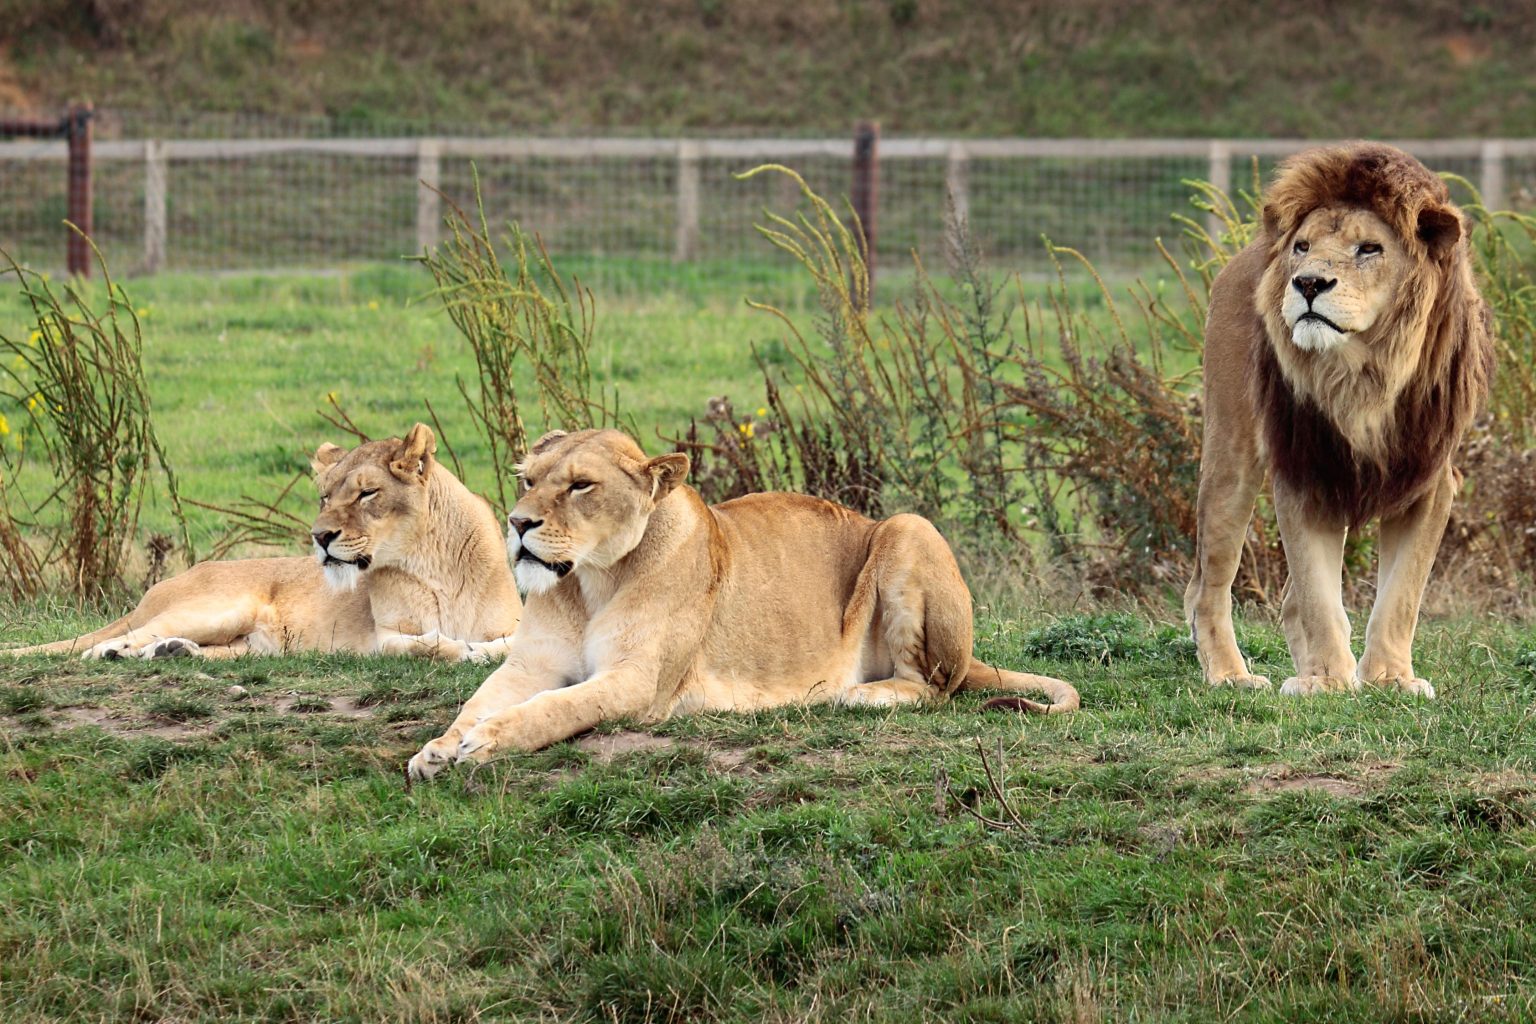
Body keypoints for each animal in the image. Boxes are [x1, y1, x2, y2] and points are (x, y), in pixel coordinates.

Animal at [4, 423, 522, 666]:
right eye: (325, 496)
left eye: (366, 493)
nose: (320, 537)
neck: (432, 562)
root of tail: (163, 585)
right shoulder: (383, 636)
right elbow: (421, 646)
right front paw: (459, 649)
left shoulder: (512, 624)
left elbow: (505, 645)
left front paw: (480, 651)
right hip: (219, 608)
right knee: (123, 637)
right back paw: (113, 653)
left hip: (252, 646)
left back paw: (171, 653)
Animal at [408, 429, 1081, 779]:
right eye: (528, 479)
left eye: (580, 486)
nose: (518, 523)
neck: (590, 581)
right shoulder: (529, 664)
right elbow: (476, 703)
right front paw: (439, 748)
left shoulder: (639, 684)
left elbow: (556, 708)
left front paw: (487, 743)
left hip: (906, 526)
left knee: (937, 685)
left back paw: (865, 694)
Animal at [1179, 142, 1492, 696]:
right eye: (1303, 246)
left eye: (1369, 248)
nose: (1307, 282)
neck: (1363, 373)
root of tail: (1248, 253)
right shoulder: (1305, 471)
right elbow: (1317, 594)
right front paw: (1326, 682)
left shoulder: (1430, 481)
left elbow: (1401, 595)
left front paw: (1389, 678)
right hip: (1230, 458)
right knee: (1207, 586)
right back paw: (1231, 674)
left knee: (1287, 601)